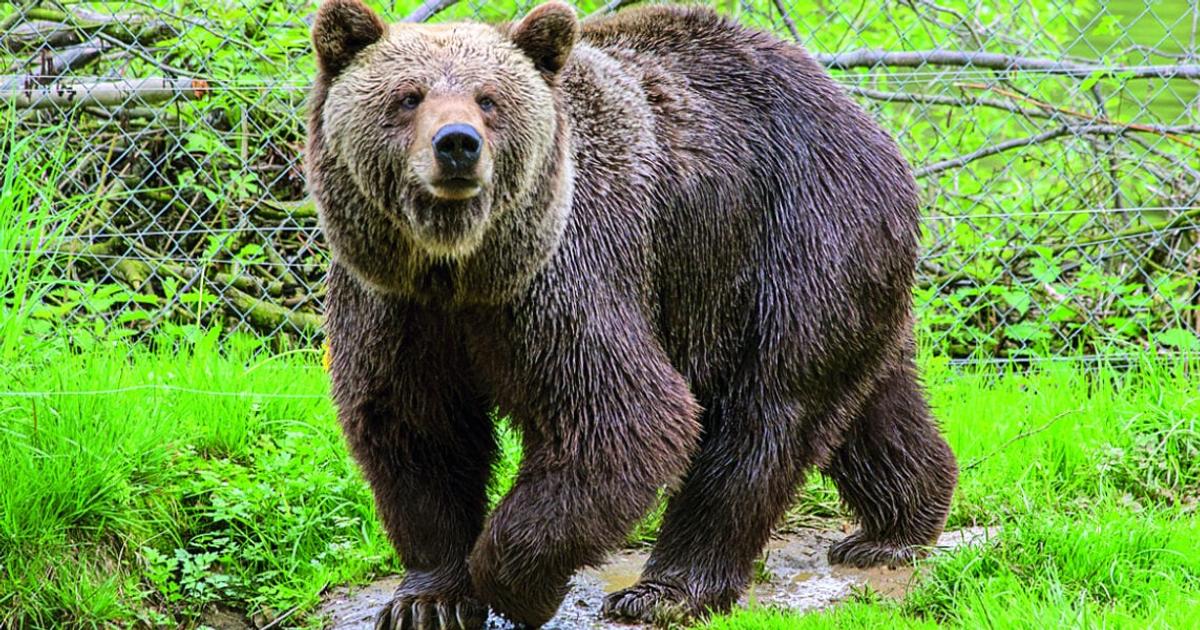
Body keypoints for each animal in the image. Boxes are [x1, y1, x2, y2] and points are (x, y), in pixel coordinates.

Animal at [306, 1, 958, 628]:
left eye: (489, 99)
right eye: (408, 96)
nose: (458, 144)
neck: (461, 266)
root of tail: (864, 118)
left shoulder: (569, 273)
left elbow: (624, 418)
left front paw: (518, 586)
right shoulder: (394, 302)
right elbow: (417, 430)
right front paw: (427, 600)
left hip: (792, 238)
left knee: (766, 410)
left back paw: (667, 589)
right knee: (872, 400)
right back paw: (896, 528)